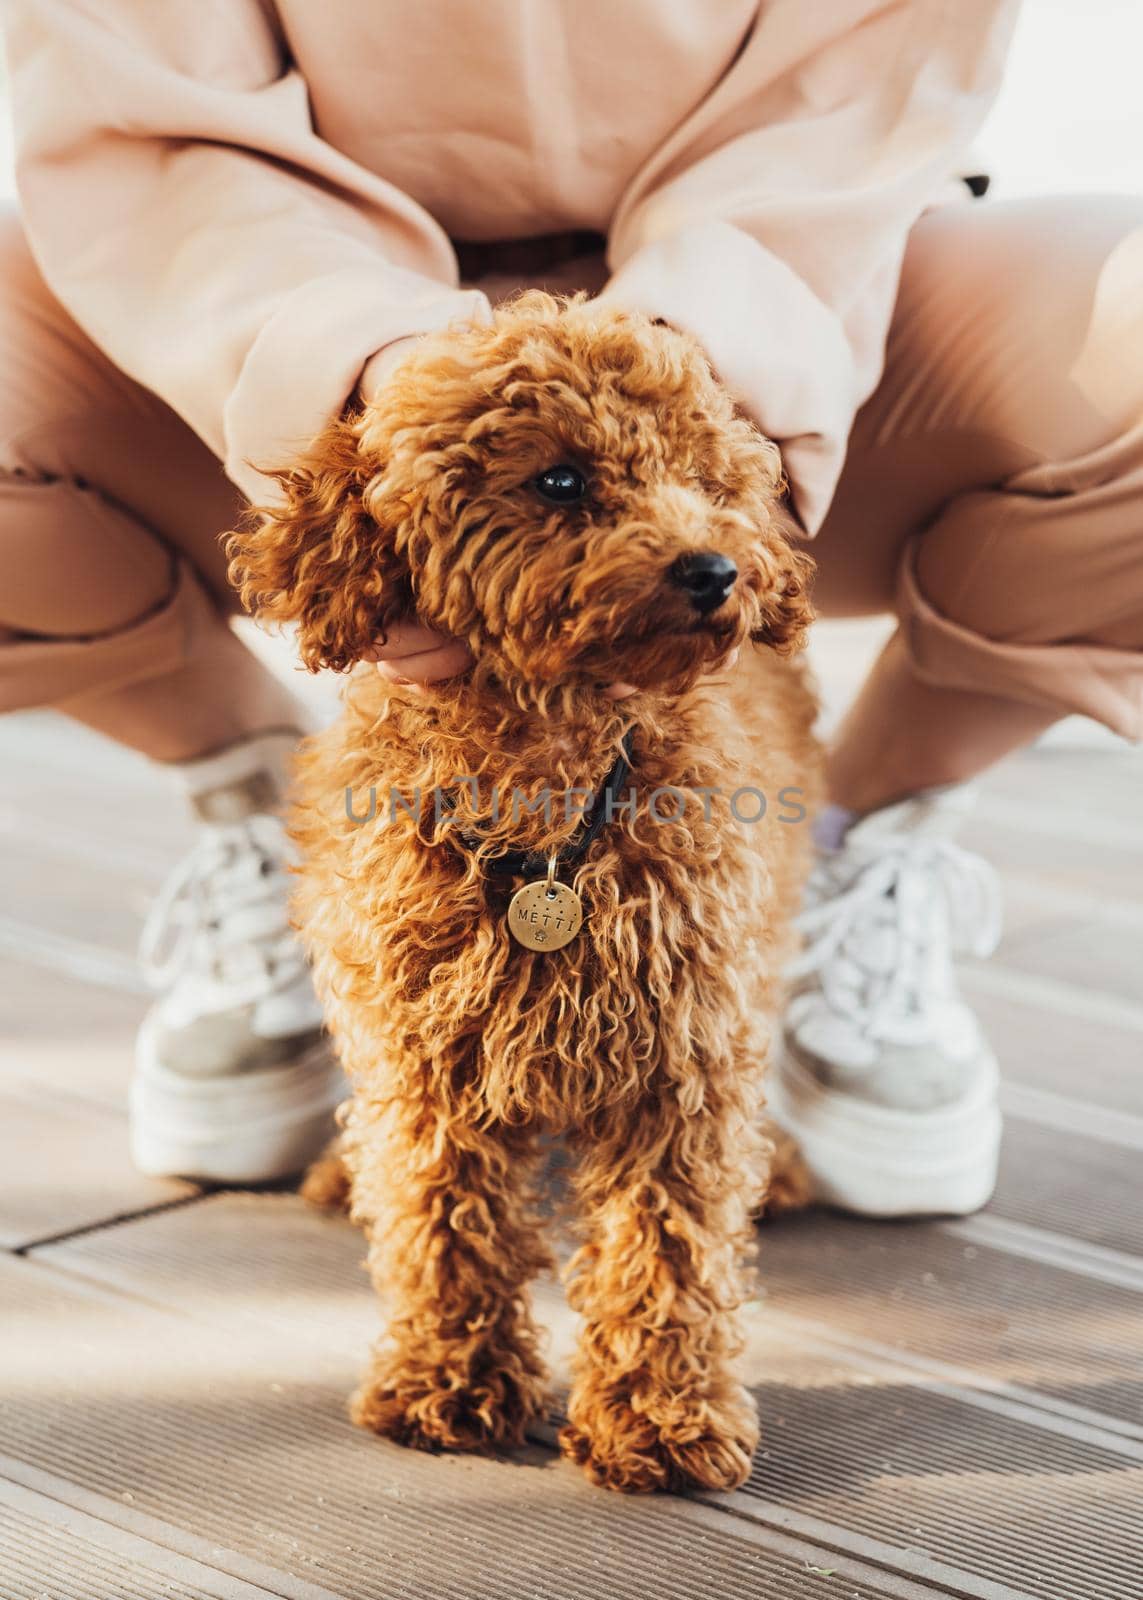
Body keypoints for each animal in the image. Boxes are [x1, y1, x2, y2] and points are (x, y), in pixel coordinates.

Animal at [228, 291, 819, 1497]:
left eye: (706, 477)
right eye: (559, 479)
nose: (717, 569)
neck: (548, 809)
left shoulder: (680, 1049)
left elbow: (669, 1243)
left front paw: (660, 1419)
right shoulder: (425, 1047)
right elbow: (439, 1216)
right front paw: (446, 1384)